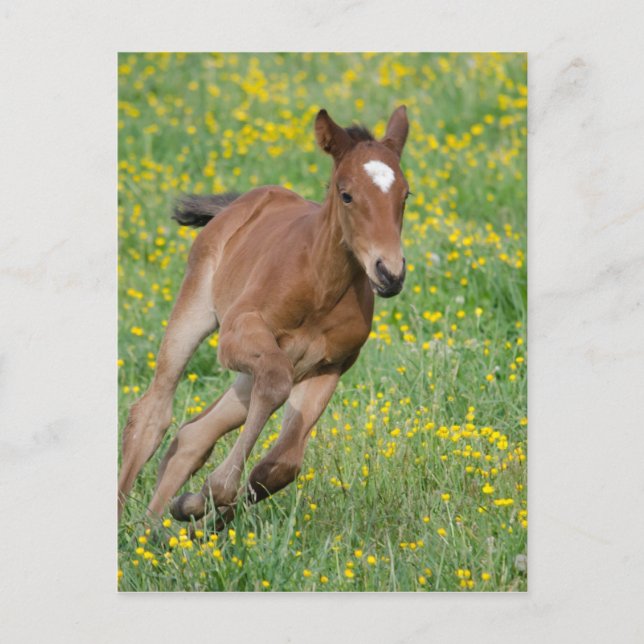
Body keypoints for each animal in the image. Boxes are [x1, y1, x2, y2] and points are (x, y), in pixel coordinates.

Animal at [118, 106, 410, 526]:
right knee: (152, 411)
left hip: (259, 368)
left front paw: (198, 508)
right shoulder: (237, 334)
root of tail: (242, 203)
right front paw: (211, 496)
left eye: (405, 195)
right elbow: (274, 384)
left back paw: (154, 527)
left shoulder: (328, 367)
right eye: (347, 195)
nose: (389, 273)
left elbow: (282, 465)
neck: (320, 285)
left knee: (195, 433)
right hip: (197, 310)